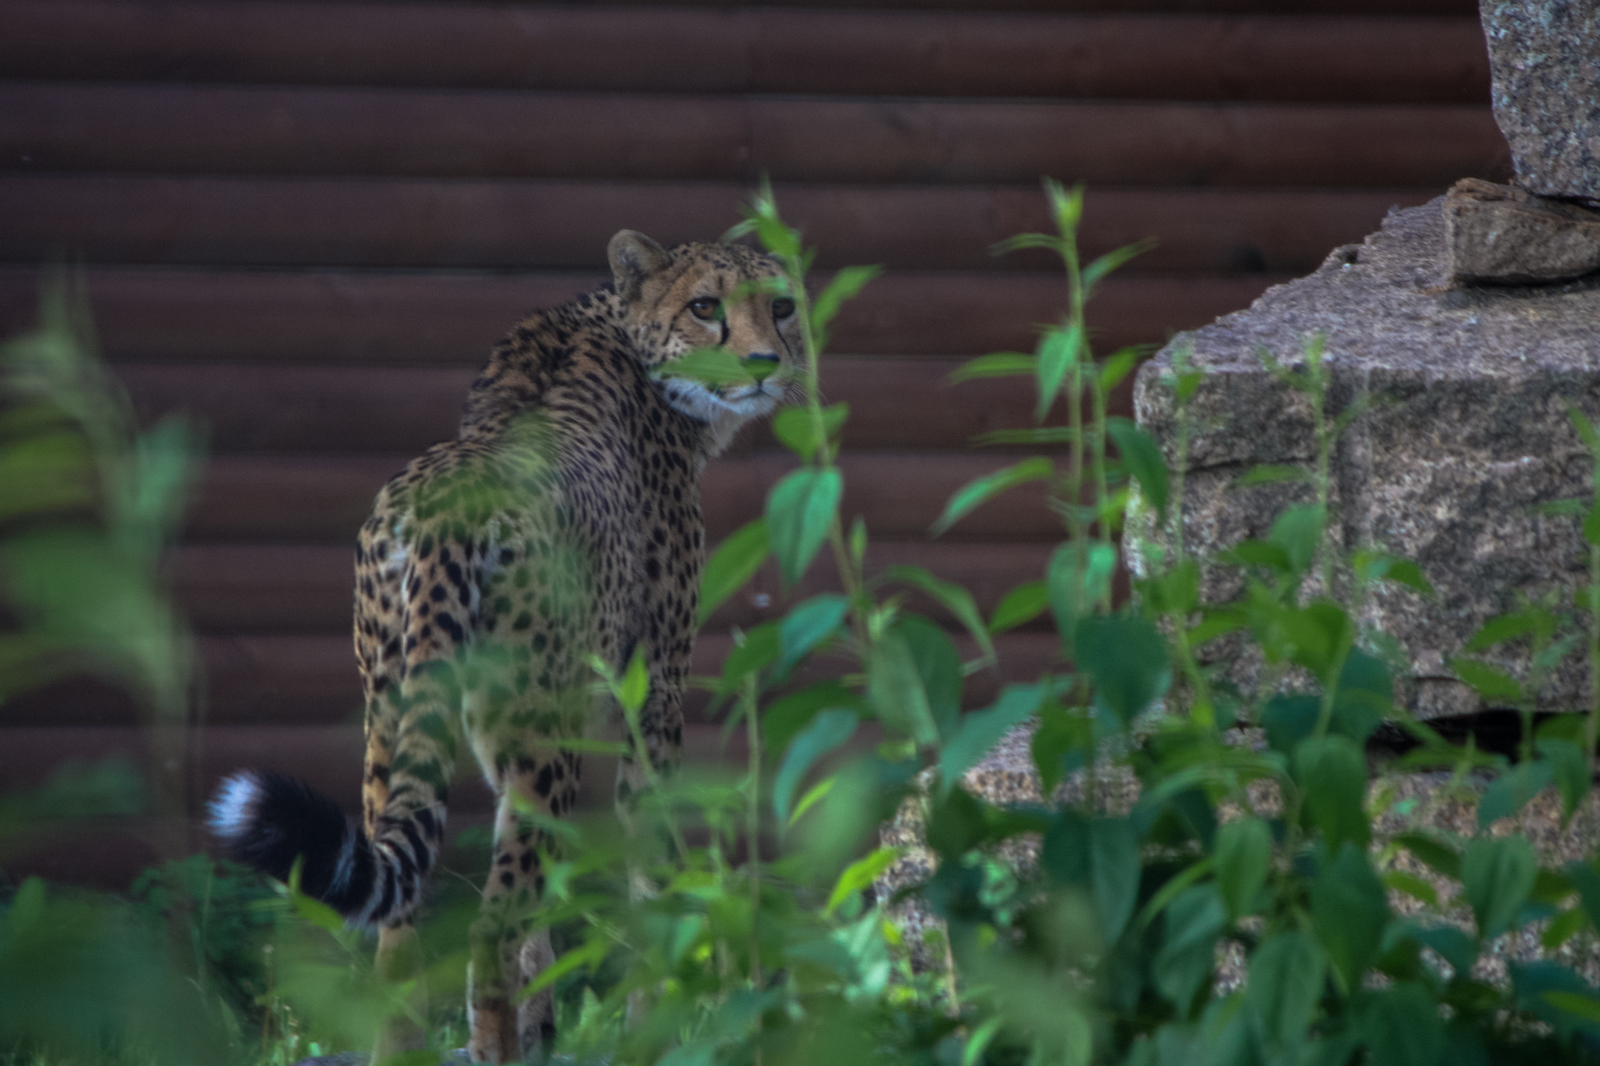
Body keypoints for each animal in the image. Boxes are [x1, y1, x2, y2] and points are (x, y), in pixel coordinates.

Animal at [212, 228, 800, 1056]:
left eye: (781, 305)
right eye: (705, 306)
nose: (762, 364)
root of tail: (442, 514)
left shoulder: (505, 733)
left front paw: (547, 1020)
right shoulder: (649, 698)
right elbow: (648, 863)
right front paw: (655, 1027)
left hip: (395, 715)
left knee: (400, 923)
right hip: (539, 733)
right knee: (489, 924)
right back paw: (493, 1049)